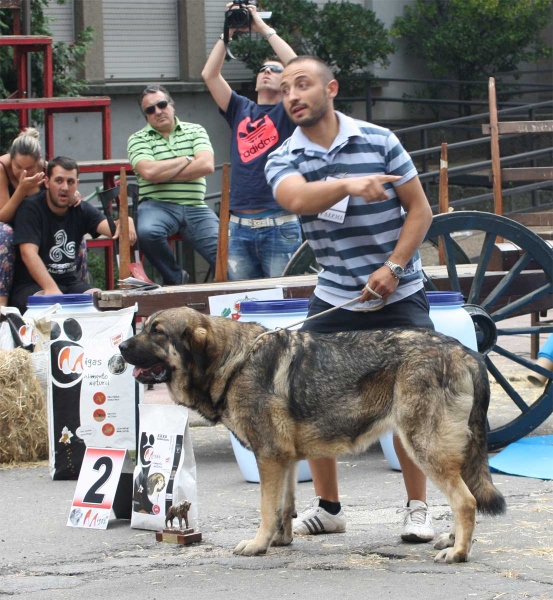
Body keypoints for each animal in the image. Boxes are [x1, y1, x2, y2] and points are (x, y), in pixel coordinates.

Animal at [119, 310, 504, 564]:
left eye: (157, 332)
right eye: (144, 327)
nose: (121, 347)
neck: (236, 361)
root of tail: (467, 352)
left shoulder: (269, 457)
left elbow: (265, 509)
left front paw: (257, 545)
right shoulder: (285, 460)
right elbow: (283, 508)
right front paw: (280, 540)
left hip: (423, 447)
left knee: (465, 501)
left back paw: (459, 552)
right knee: (463, 499)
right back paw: (451, 541)